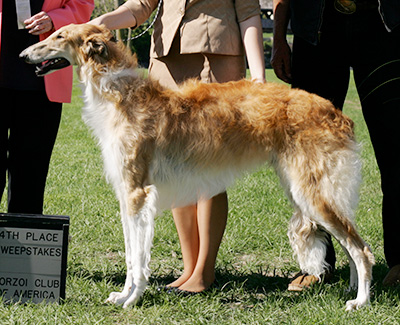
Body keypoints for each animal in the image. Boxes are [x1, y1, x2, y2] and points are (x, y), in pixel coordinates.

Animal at [18, 23, 376, 308]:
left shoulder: (137, 194)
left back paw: (360, 302)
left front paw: (132, 299)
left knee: (362, 250)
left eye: (59, 36)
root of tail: (339, 115)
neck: (121, 96)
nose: (23, 56)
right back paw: (352, 290)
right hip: (308, 191)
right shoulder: (126, 195)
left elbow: (137, 257)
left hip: (312, 192)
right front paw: (123, 295)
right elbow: (130, 253)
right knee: (350, 246)